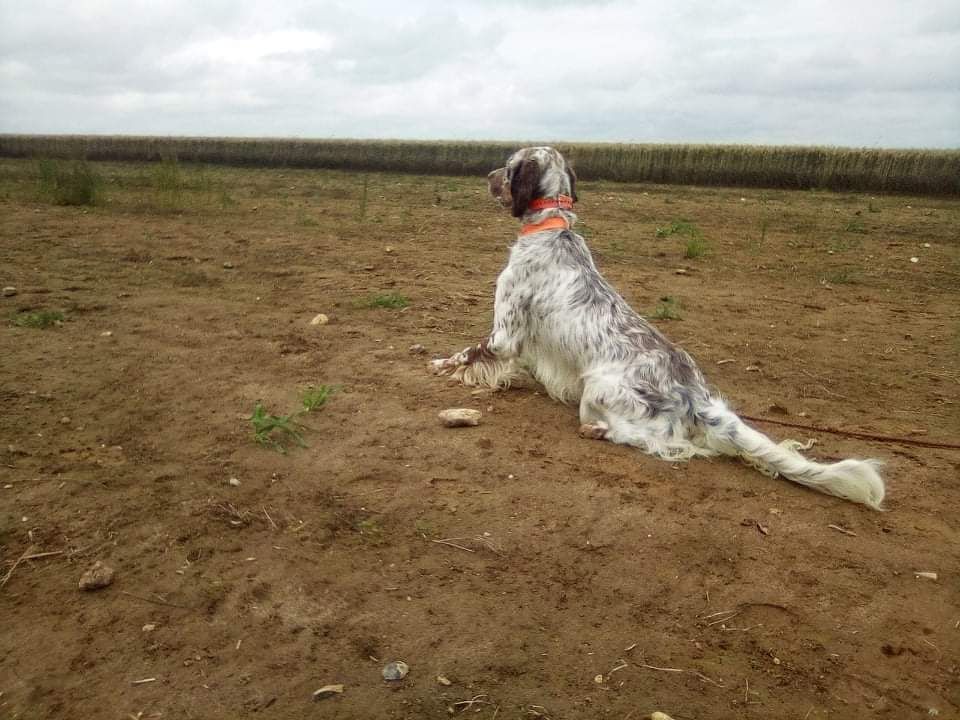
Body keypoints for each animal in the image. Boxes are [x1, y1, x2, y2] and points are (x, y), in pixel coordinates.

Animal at [432, 146, 888, 510]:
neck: (550, 228)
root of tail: (694, 396)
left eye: (509, 167)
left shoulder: (505, 333)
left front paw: (440, 366)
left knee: (666, 443)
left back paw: (599, 430)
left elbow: (470, 353)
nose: (487, 176)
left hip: (599, 389)